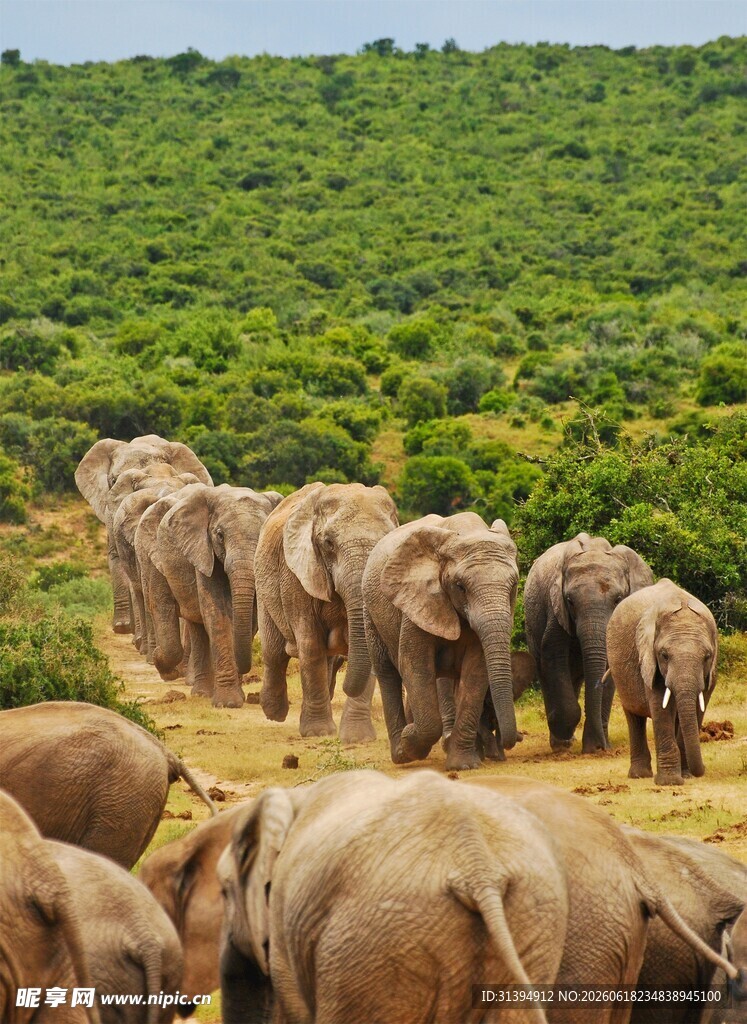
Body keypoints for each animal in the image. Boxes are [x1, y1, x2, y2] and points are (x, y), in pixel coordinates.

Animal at [151, 483, 283, 707]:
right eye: (220, 535)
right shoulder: (203, 550)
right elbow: (216, 615)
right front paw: (228, 703)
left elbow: (251, 618)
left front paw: (237, 696)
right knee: (196, 624)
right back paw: (201, 693)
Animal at [255, 481, 399, 742]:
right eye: (328, 544)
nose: (345, 687)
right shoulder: (296, 575)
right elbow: (311, 646)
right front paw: (318, 733)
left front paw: (357, 738)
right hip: (263, 583)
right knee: (274, 652)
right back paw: (274, 713)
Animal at [363, 511, 519, 770]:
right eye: (460, 587)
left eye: (514, 586)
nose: (511, 741)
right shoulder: (416, 601)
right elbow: (414, 665)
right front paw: (409, 740)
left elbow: (476, 672)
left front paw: (463, 765)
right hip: (370, 612)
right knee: (387, 673)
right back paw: (400, 754)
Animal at [524, 532, 653, 753]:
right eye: (569, 601)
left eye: (618, 599)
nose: (602, 747)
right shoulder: (555, 609)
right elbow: (553, 655)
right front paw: (566, 741)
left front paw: (595, 747)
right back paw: (562, 742)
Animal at [606, 578, 718, 785]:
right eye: (664, 655)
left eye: (707, 656)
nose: (703, 771)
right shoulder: (649, 662)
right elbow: (661, 708)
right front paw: (670, 782)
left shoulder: (710, 674)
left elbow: (698, 708)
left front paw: (685, 776)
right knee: (634, 716)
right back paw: (639, 775)